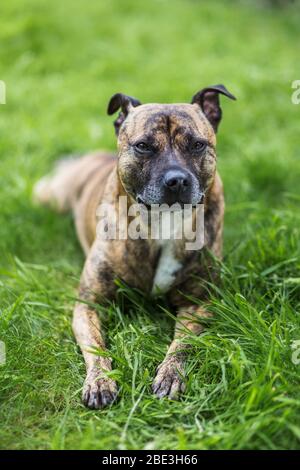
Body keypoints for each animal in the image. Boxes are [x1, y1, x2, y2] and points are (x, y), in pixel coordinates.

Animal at [35, 84, 236, 408]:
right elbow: (96, 347)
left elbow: (182, 344)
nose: (176, 180)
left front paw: (170, 375)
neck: (163, 220)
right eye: (143, 146)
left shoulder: (199, 304)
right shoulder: (89, 304)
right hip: (53, 195)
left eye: (197, 145)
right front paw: (100, 381)